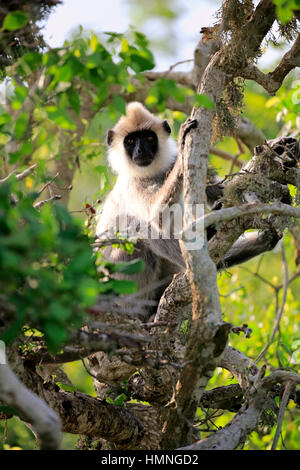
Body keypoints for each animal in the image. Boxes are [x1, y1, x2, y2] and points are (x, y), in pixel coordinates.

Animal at [97, 102, 282, 316]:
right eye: (131, 141)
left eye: (149, 138)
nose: (140, 151)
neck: (152, 174)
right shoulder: (134, 185)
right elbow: (155, 218)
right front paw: (183, 145)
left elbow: (227, 191)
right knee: (139, 234)